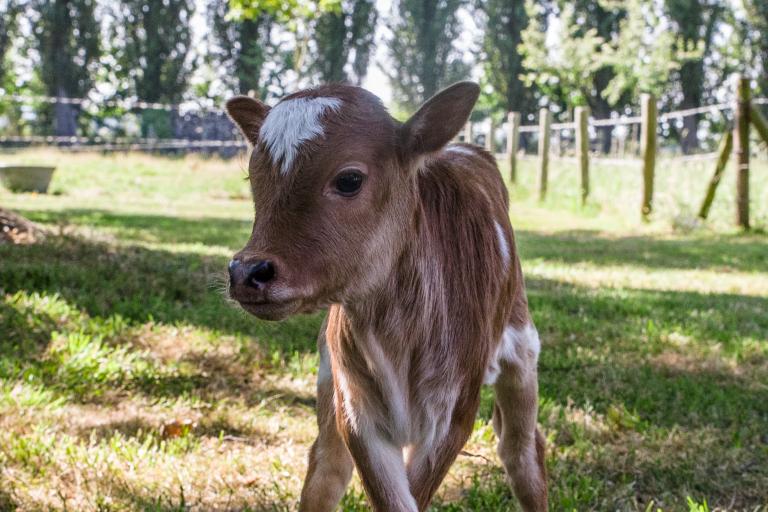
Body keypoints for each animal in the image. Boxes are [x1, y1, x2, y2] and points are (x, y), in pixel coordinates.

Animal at [224, 82, 544, 510]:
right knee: (326, 466)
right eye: (254, 178)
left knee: (522, 451)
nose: (246, 272)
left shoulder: (456, 410)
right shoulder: (354, 405)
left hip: (522, 353)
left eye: (349, 179)